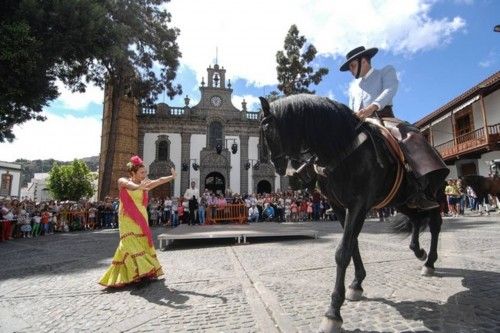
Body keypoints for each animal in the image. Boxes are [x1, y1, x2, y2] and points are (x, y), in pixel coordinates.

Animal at [262, 94, 450, 332]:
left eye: (269, 132)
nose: (279, 168)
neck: (342, 149)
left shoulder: (359, 205)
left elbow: (343, 251)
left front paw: (333, 312)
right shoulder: (339, 206)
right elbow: (353, 245)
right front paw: (356, 284)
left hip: (435, 195)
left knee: (434, 225)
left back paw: (429, 263)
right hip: (402, 201)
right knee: (416, 220)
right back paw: (419, 252)